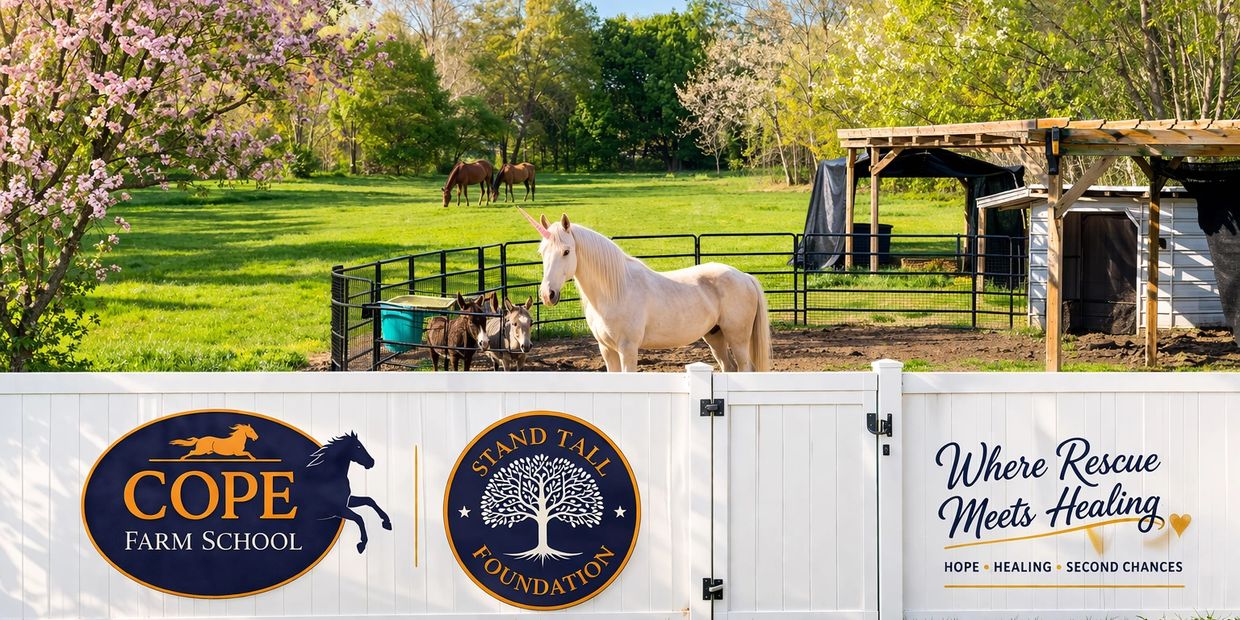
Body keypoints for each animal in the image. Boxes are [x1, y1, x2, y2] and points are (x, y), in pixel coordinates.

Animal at [520, 209, 772, 372]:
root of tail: (745, 277)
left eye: (566, 251)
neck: (616, 291)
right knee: (729, 368)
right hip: (715, 337)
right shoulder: (607, 350)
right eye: (542, 252)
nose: (548, 295)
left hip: (738, 339)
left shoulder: (628, 349)